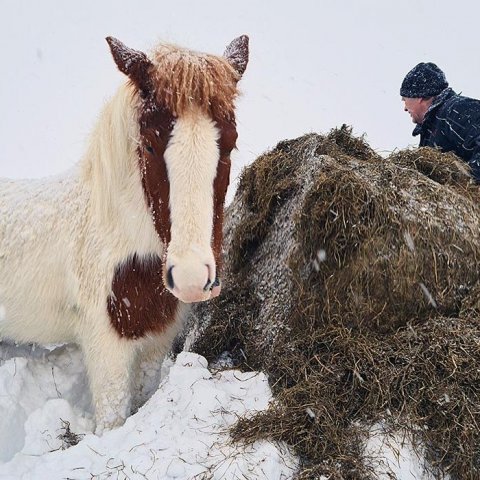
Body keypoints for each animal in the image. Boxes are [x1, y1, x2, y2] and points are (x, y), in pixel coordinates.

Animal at [0, 35, 249, 434]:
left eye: (230, 143)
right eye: (149, 143)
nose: (192, 278)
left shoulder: (154, 341)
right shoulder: (107, 351)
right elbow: (113, 420)